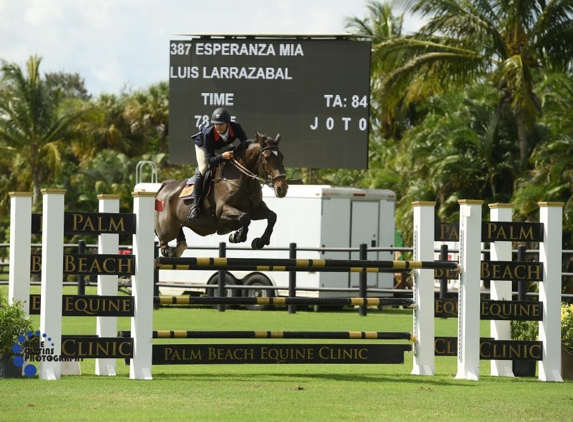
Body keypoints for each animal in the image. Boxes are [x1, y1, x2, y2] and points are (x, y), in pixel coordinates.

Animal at [154, 132, 288, 258]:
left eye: (282, 157)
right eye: (266, 158)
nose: (282, 189)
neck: (244, 181)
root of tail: (166, 186)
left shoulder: (256, 209)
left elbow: (272, 216)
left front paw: (260, 241)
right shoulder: (222, 210)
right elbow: (245, 217)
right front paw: (238, 236)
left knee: (181, 242)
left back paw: (175, 250)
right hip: (168, 229)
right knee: (163, 239)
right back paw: (168, 250)